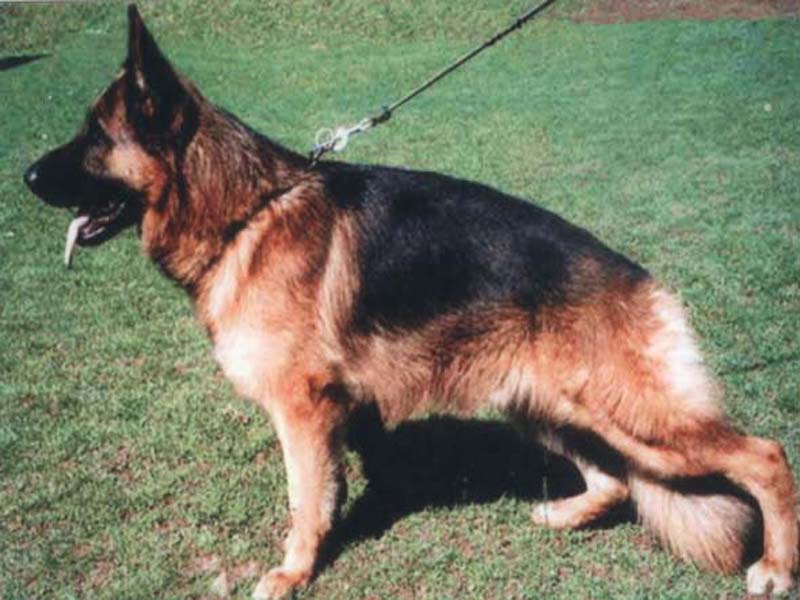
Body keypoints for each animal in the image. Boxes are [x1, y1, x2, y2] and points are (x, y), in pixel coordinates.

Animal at [24, 5, 798, 598]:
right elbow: (328, 490)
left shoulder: (302, 411)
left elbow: (304, 499)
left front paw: (294, 571)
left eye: (96, 136)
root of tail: (640, 279)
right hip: (552, 404)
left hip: (639, 415)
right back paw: (562, 516)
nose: (26, 175)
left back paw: (775, 566)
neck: (245, 213)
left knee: (766, 456)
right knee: (613, 479)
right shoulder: (334, 415)